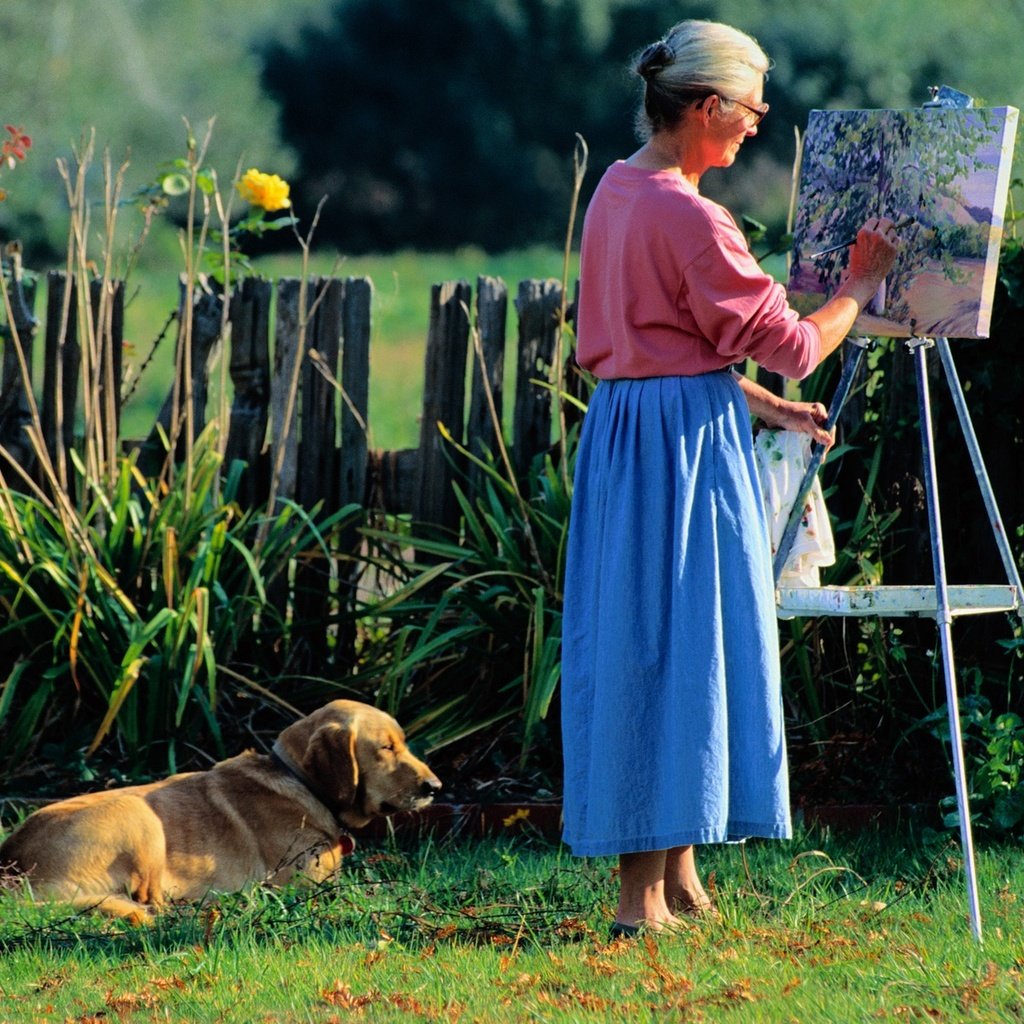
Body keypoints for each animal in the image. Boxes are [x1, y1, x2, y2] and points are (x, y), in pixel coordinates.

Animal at [0, 700, 440, 925]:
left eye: (402, 743)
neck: (299, 780)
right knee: (154, 903)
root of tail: (13, 874)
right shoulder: (302, 886)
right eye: (386, 748)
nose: (435, 787)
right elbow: (377, 889)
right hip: (139, 815)